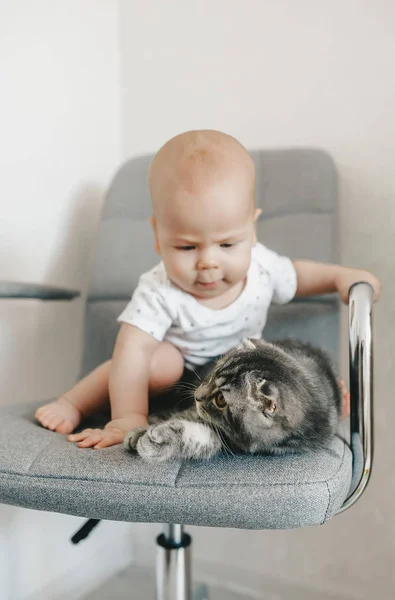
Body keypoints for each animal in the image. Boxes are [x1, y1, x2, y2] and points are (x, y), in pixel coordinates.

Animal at [125, 340, 342, 462]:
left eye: (221, 399)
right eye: (213, 373)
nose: (197, 395)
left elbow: (202, 439)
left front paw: (157, 439)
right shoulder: (194, 410)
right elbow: (184, 415)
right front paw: (141, 431)